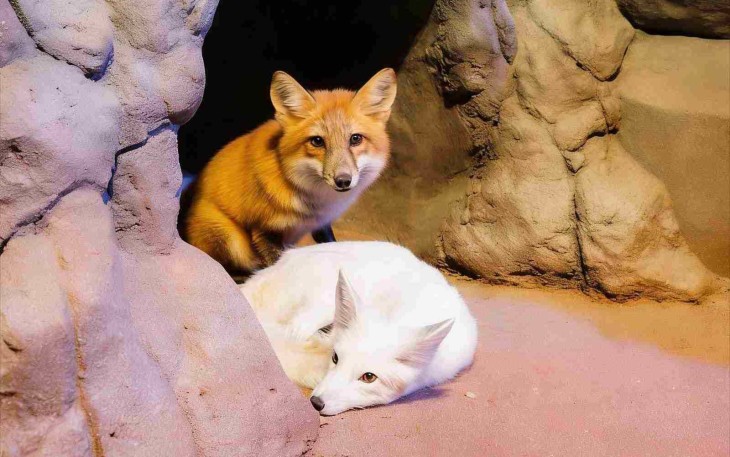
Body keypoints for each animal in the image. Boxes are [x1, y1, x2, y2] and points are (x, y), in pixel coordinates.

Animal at [180, 69, 397, 275]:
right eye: (317, 141)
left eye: (355, 139)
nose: (343, 181)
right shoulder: (263, 230)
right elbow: (277, 268)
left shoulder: (321, 224)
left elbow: (330, 244)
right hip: (229, 237)